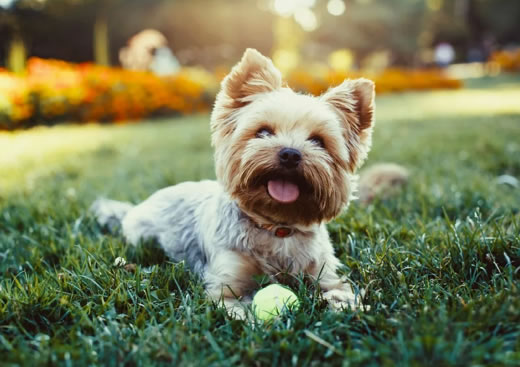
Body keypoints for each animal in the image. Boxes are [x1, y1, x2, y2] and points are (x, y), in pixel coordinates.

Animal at [91, 48, 378, 320]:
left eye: (318, 141)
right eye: (263, 132)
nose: (290, 154)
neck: (277, 228)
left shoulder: (325, 274)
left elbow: (340, 292)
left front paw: (347, 308)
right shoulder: (227, 284)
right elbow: (239, 309)